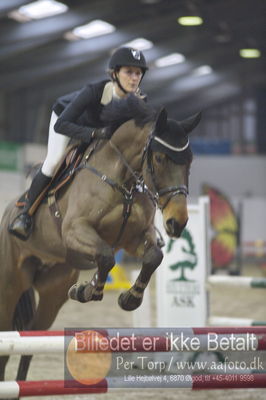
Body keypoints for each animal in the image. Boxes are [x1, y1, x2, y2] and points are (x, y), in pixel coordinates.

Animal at [0, 95, 200, 386]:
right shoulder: (75, 230)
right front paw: (89, 290)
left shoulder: (134, 238)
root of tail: (7, 213)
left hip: (52, 291)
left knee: (30, 336)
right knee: (8, 333)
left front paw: (128, 298)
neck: (124, 179)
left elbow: (153, 257)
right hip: (10, 285)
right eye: (160, 158)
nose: (178, 221)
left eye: (189, 161)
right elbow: (105, 257)